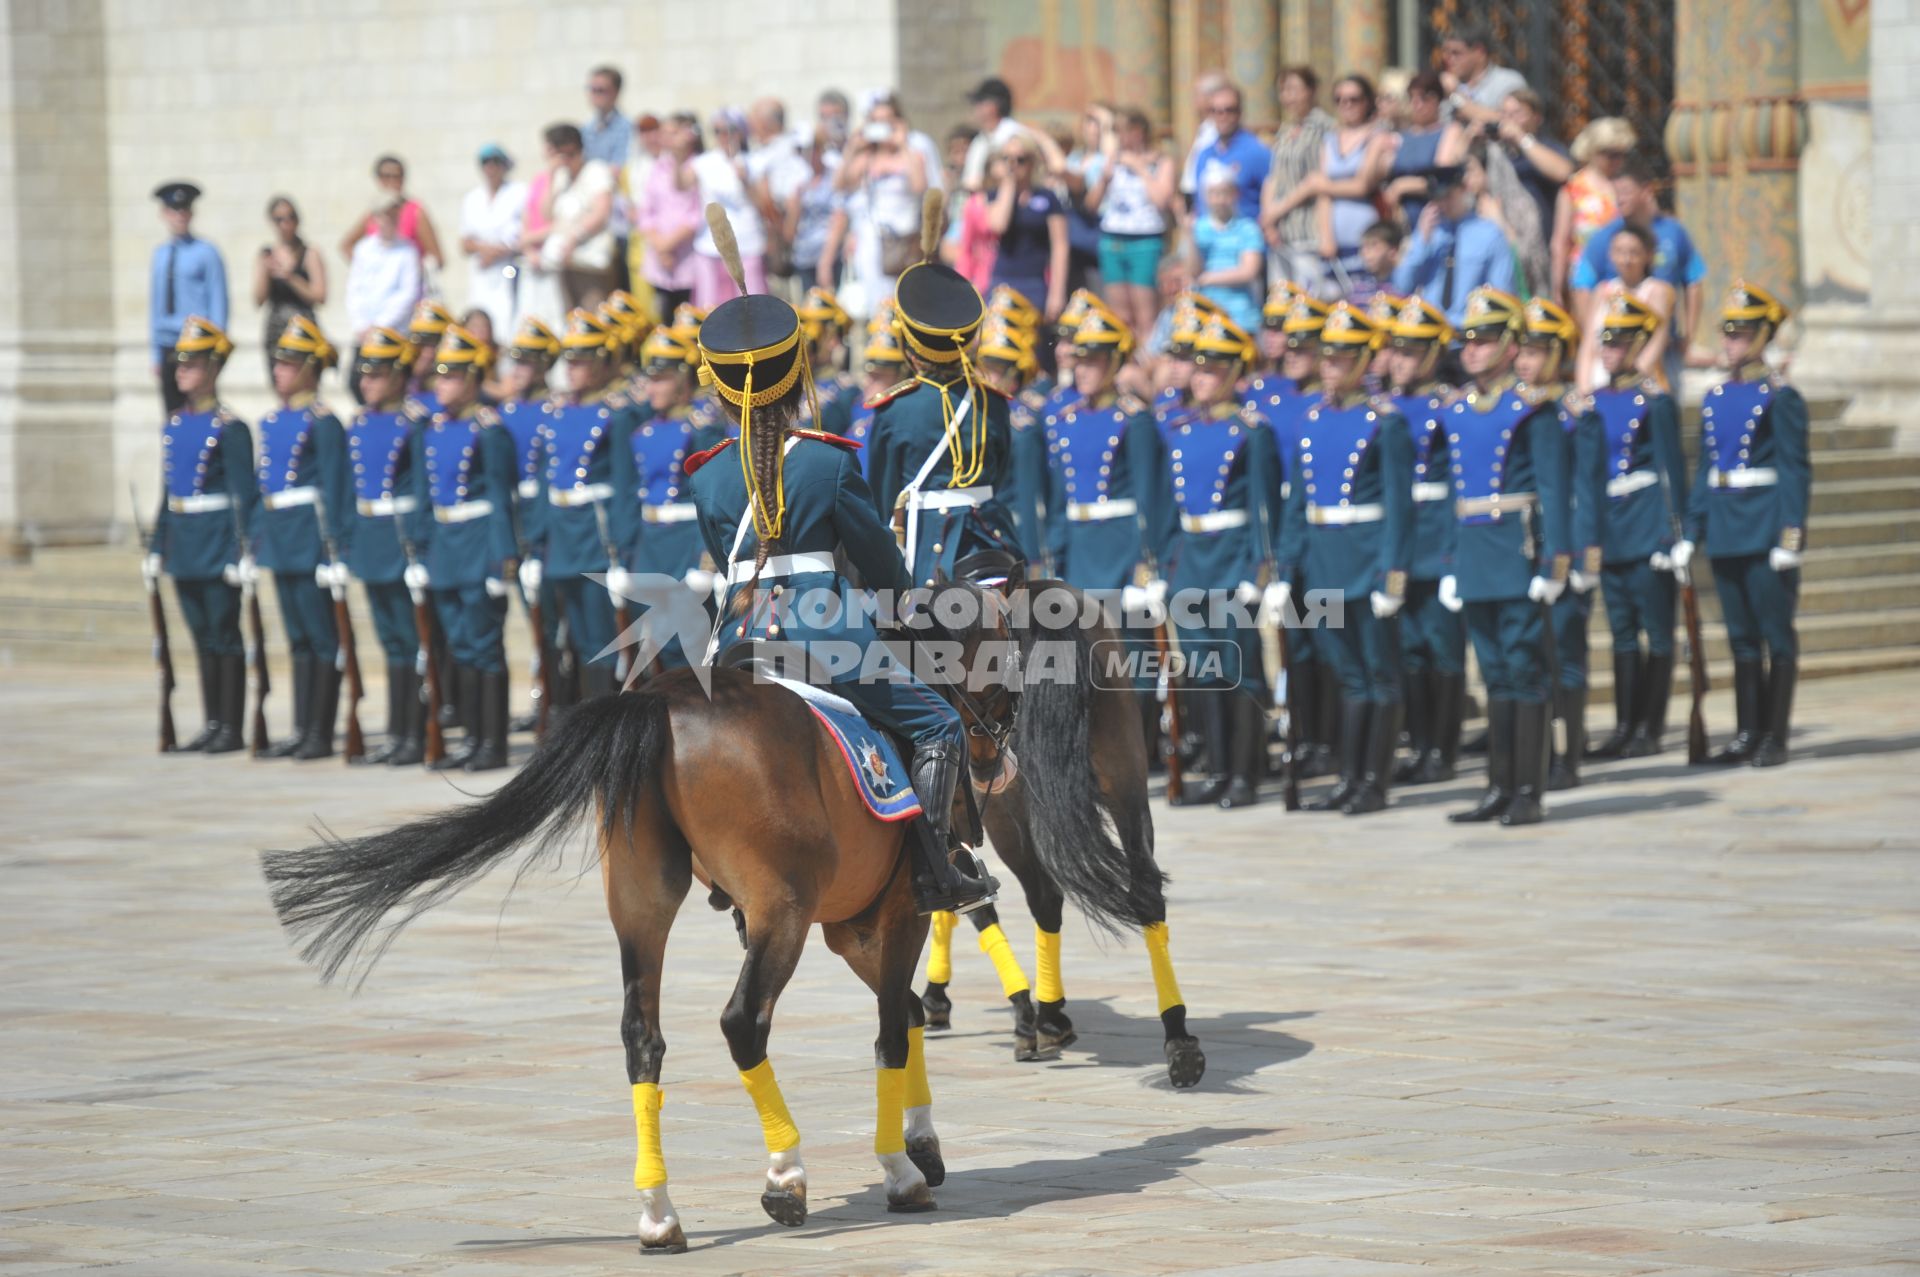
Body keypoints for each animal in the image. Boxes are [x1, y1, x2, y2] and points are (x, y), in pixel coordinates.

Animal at [266, 591, 1036, 1252]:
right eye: (1005, 656)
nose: (1001, 758)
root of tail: (659, 703)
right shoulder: (895, 913)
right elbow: (892, 1031)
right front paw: (902, 1167)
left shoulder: (851, 927)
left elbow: (905, 1012)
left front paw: (921, 1145)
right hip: (779, 912)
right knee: (743, 1022)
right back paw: (784, 1175)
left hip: (643, 902)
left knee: (643, 1036)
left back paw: (659, 1213)